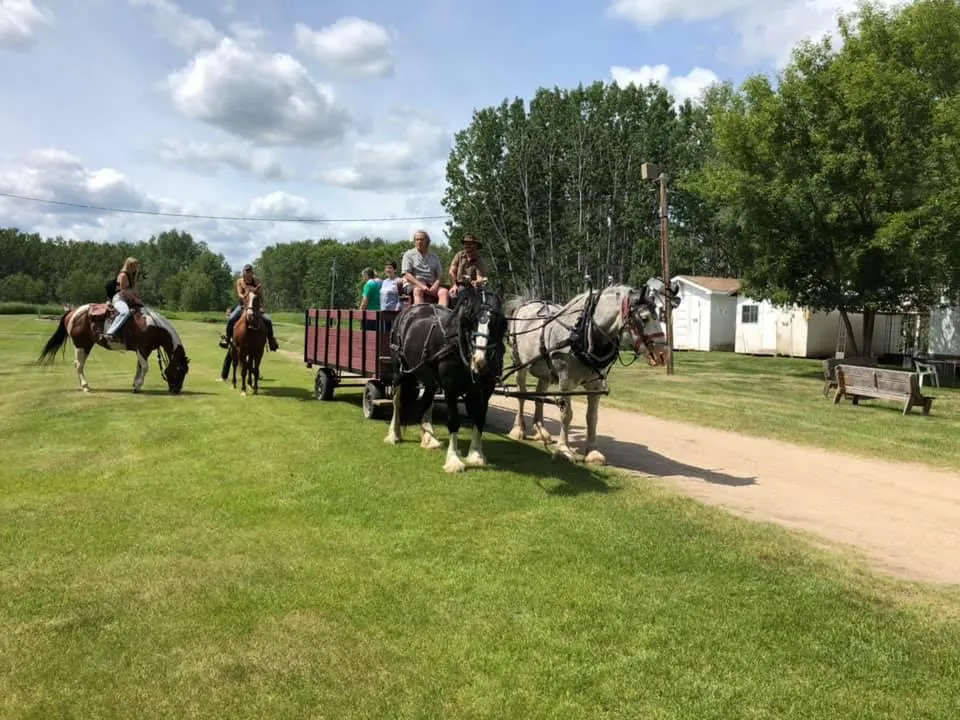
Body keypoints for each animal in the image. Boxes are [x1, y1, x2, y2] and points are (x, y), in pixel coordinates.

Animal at [38, 302, 191, 396]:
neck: (152, 326)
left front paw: (135, 384)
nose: (176, 389)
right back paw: (85, 386)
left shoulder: (143, 351)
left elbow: (139, 367)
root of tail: (72, 312)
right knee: (79, 365)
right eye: (180, 370)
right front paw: (137, 386)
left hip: (87, 345)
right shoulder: (142, 349)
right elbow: (145, 368)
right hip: (81, 345)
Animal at [382, 282, 506, 472]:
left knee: (426, 402)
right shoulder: (450, 387)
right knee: (398, 401)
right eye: (472, 319)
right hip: (400, 370)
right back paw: (393, 435)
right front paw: (454, 460)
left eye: (496, 322)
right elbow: (453, 421)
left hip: (428, 377)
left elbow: (479, 418)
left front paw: (476, 455)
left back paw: (429, 438)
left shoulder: (485, 390)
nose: (479, 360)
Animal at [502, 278, 676, 464]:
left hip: (545, 373)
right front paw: (563, 450)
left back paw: (541, 431)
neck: (582, 334)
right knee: (521, 395)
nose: (663, 353)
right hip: (519, 364)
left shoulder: (596, 384)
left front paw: (592, 451)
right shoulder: (566, 382)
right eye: (644, 318)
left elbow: (592, 417)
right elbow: (566, 414)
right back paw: (518, 429)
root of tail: (525, 304)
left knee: (539, 396)